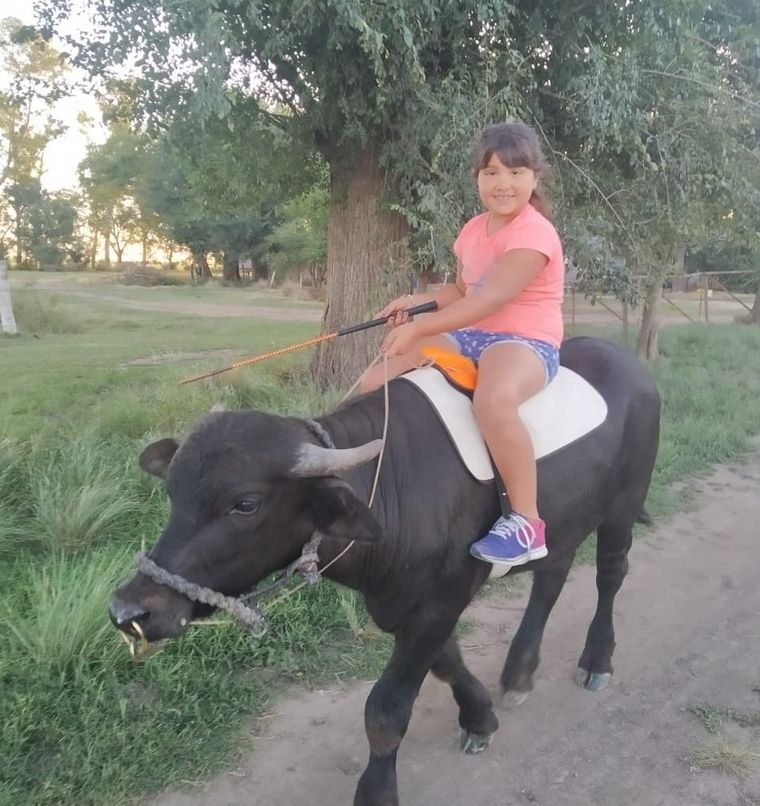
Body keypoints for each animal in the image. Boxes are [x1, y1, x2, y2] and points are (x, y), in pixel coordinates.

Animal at [111, 336, 660, 806]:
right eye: (172, 492)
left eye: (245, 504)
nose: (129, 610)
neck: (393, 487)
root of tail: (626, 362)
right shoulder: (406, 603)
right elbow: (446, 663)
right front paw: (480, 717)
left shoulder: (439, 599)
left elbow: (385, 711)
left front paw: (377, 791)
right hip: (566, 518)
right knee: (552, 577)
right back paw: (520, 672)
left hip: (623, 506)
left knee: (610, 574)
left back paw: (596, 660)